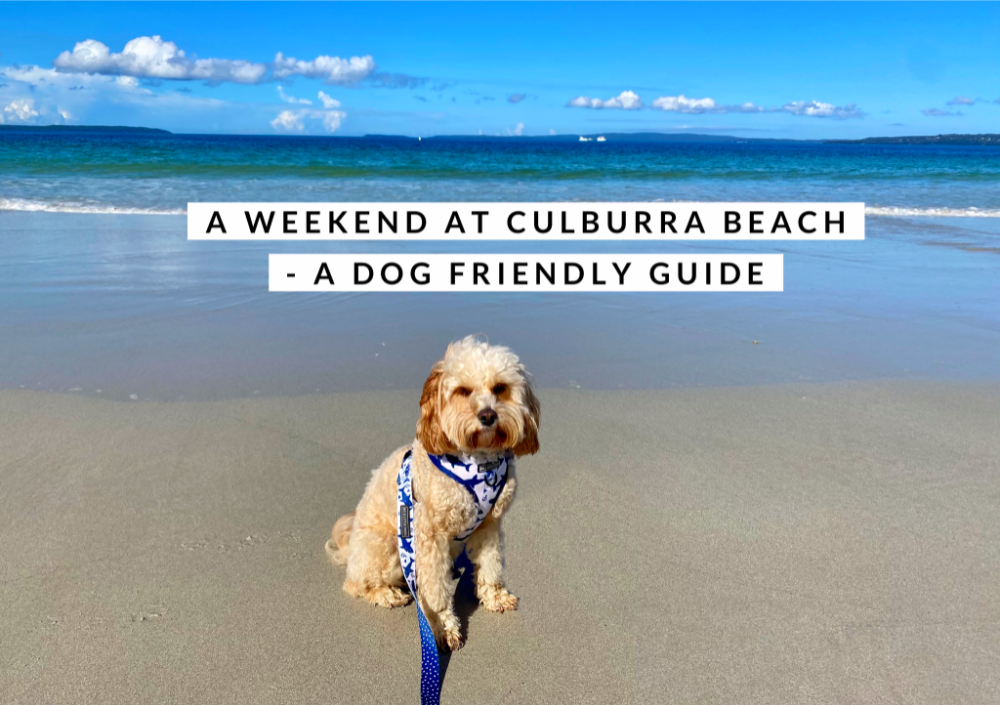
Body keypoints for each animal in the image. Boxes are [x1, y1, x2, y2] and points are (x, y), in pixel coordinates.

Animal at [326, 336, 540, 648]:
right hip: (388, 547)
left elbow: (491, 565)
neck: (479, 463)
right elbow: (437, 591)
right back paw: (385, 593)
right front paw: (442, 626)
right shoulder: (430, 537)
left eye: (500, 387)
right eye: (463, 391)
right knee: (355, 583)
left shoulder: (489, 525)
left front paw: (495, 596)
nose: (488, 415)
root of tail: (349, 547)